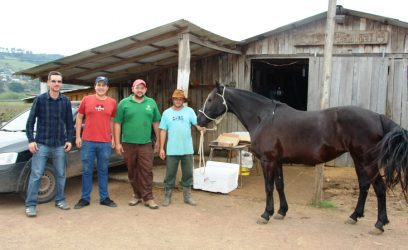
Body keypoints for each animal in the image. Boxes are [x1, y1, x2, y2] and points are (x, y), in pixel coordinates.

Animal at [196, 82, 406, 234]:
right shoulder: (277, 161)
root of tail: (378, 116)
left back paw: (379, 224)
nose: (199, 120)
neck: (264, 117)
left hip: (367, 161)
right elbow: (280, 185)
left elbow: (269, 187)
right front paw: (281, 212)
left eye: (210, 99)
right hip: (358, 159)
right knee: (364, 186)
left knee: (379, 188)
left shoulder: (267, 160)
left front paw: (266, 214)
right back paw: (354, 216)